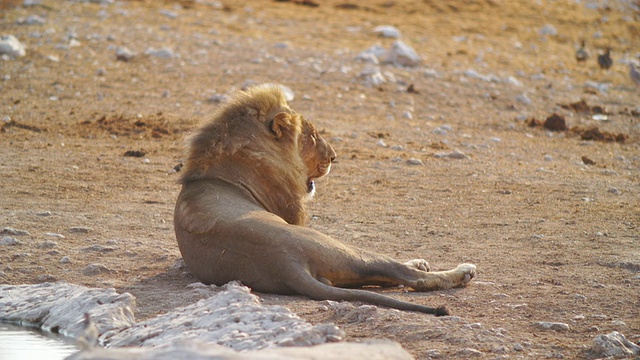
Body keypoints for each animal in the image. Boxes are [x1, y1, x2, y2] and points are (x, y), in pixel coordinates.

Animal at [175, 83, 476, 316]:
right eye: (312, 136)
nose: (334, 157)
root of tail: (285, 263)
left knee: (384, 279)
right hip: (340, 249)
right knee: (406, 276)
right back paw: (462, 271)